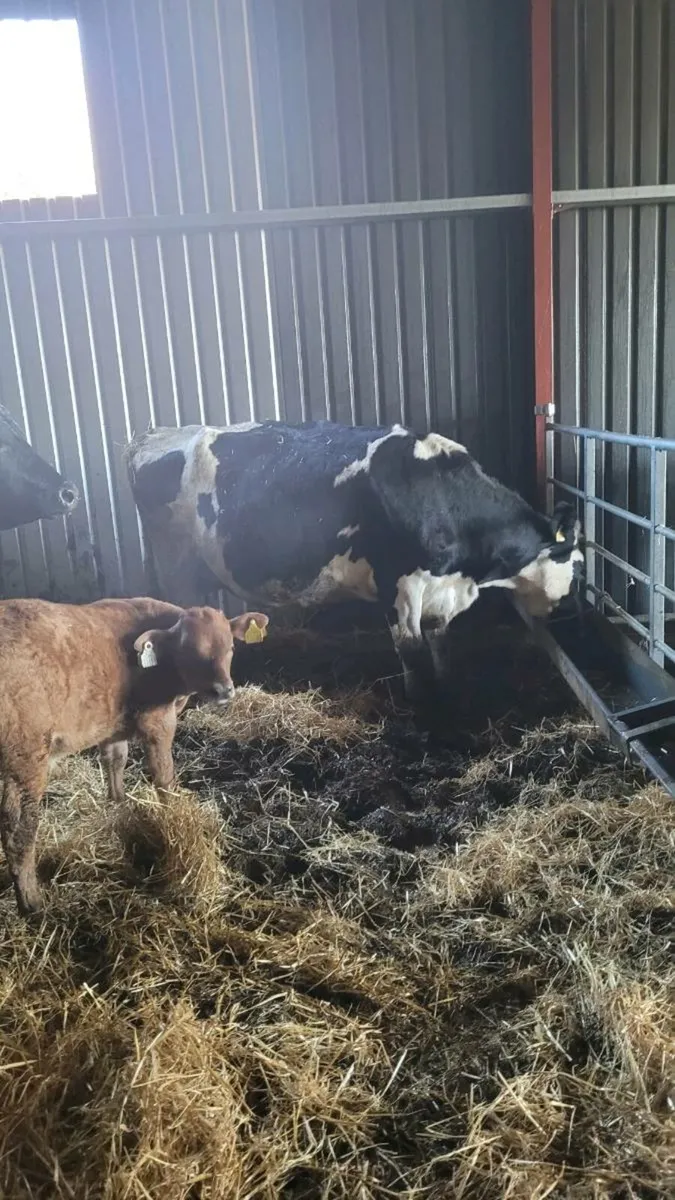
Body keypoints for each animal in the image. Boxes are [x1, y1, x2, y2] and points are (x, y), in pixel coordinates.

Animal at [0, 597, 268, 915]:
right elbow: (164, 778)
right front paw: (173, 819)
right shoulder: (158, 720)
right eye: (190, 650)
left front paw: (118, 807)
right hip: (25, 756)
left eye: (230, 647)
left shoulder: (112, 725)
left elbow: (115, 761)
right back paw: (32, 902)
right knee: (18, 830)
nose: (224, 690)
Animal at [126, 421, 582, 699]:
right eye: (578, 568)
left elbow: (441, 643)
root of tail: (152, 436)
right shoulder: (401, 587)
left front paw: (448, 687)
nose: (568, 612)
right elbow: (413, 652)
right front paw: (422, 708)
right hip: (176, 562)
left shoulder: (441, 592)